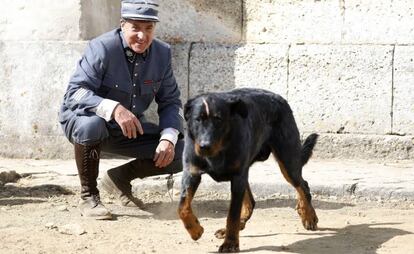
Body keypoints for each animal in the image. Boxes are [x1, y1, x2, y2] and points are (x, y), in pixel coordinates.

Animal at [177, 88, 316, 252]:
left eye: (218, 120)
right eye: (197, 119)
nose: (205, 145)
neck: (219, 149)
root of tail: (279, 97)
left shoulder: (237, 177)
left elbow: (232, 214)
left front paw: (230, 243)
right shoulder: (191, 173)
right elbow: (182, 207)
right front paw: (195, 229)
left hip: (287, 160)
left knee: (302, 185)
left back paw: (309, 216)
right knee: (251, 201)